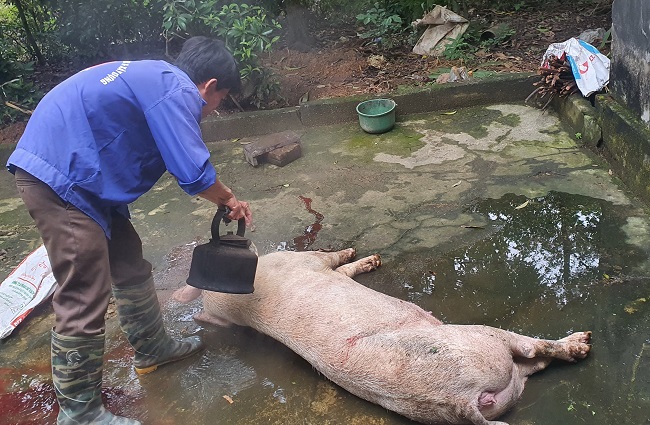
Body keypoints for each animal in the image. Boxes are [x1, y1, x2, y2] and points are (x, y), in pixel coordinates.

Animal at [175, 248, 588, 424]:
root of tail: (461, 403)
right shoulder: (305, 260)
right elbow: (332, 258)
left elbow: (343, 271)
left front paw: (371, 261)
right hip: (483, 341)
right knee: (533, 349)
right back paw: (582, 343)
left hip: (506, 381)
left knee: (532, 365)